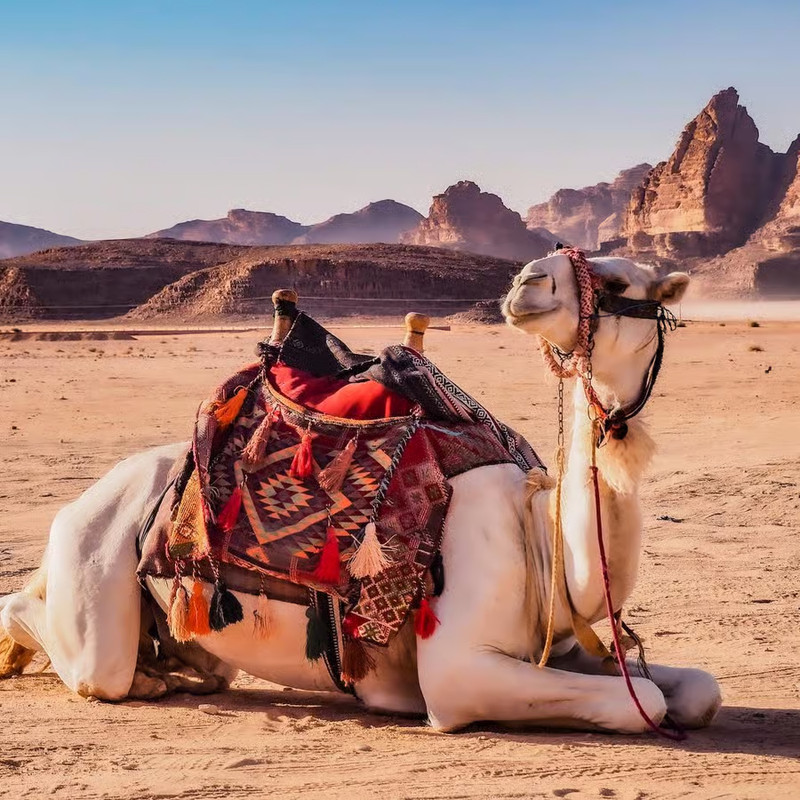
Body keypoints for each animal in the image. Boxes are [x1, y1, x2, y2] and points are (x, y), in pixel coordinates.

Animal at [0, 251, 721, 734]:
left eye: (618, 281)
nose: (527, 283)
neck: (544, 551)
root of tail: (83, 502)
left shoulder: (566, 646)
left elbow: (697, 690)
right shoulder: (458, 673)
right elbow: (642, 703)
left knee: (195, 663)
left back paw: (175, 671)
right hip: (93, 566)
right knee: (74, 647)